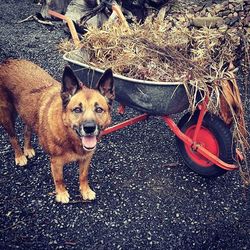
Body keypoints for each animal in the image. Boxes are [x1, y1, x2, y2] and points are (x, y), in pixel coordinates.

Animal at [0, 60, 114, 203]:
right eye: (77, 110)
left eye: (99, 109)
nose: (89, 128)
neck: (70, 137)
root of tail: (7, 61)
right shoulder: (56, 162)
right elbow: (59, 179)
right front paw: (61, 193)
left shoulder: (86, 159)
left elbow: (83, 176)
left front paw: (85, 190)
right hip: (7, 117)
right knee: (13, 137)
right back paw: (20, 155)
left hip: (27, 113)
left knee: (27, 130)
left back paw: (28, 148)